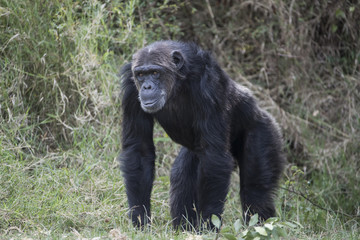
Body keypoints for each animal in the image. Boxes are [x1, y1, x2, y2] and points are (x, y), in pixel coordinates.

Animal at [118, 40, 284, 230]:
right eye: (140, 75)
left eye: (154, 72)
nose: (146, 86)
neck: (177, 83)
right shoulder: (131, 90)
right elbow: (139, 149)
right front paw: (140, 219)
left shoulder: (209, 87)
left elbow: (213, 155)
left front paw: (208, 225)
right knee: (182, 177)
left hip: (264, 132)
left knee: (255, 189)